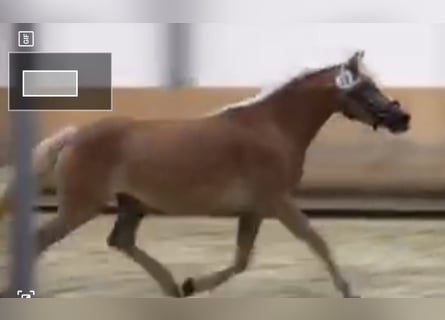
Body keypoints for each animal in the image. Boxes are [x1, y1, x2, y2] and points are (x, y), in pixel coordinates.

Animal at [0, 50, 410, 298]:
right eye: (365, 88)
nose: (402, 118)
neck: (273, 128)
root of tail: (74, 136)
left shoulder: (255, 209)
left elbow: (242, 260)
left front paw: (193, 283)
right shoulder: (277, 202)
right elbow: (315, 240)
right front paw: (348, 289)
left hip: (131, 204)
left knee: (121, 241)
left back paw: (173, 287)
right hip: (81, 206)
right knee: (40, 240)